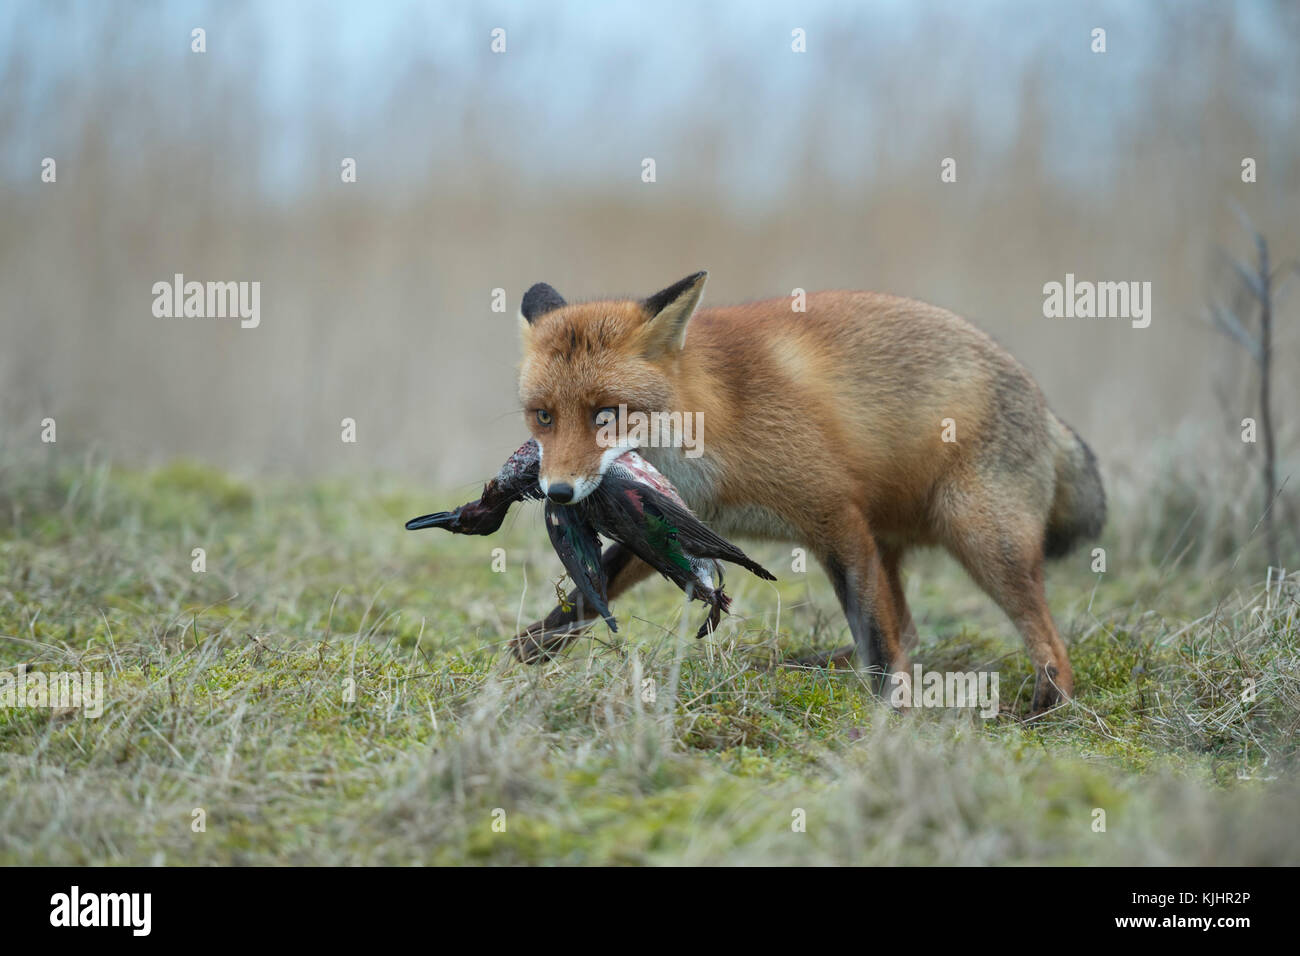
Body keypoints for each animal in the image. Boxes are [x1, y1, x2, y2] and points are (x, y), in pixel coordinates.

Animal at [512, 273, 1102, 712]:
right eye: (544, 416)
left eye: (605, 415)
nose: (557, 492)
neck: (714, 416)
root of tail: (1043, 404)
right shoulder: (678, 522)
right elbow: (592, 591)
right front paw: (529, 648)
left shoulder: (832, 513)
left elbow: (876, 633)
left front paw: (890, 712)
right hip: (891, 540)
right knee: (910, 630)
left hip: (979, 537)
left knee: (1044, 638)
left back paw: (1049, 706)